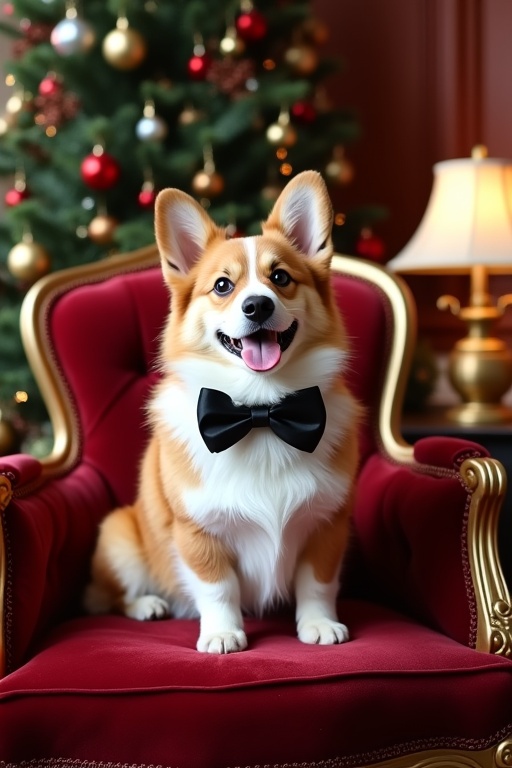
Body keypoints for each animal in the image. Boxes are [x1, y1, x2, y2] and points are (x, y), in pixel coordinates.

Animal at [84, 170, 360, 656]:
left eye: (281, 277)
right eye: (222, 286)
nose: (258, 305)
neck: (261, 411)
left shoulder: (327, 524)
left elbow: (317, 583)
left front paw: (320, 624)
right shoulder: (198, 531)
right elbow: (218, 588)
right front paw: (222, 633)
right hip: (119, 537)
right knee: (111, 597)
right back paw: (147, 605)